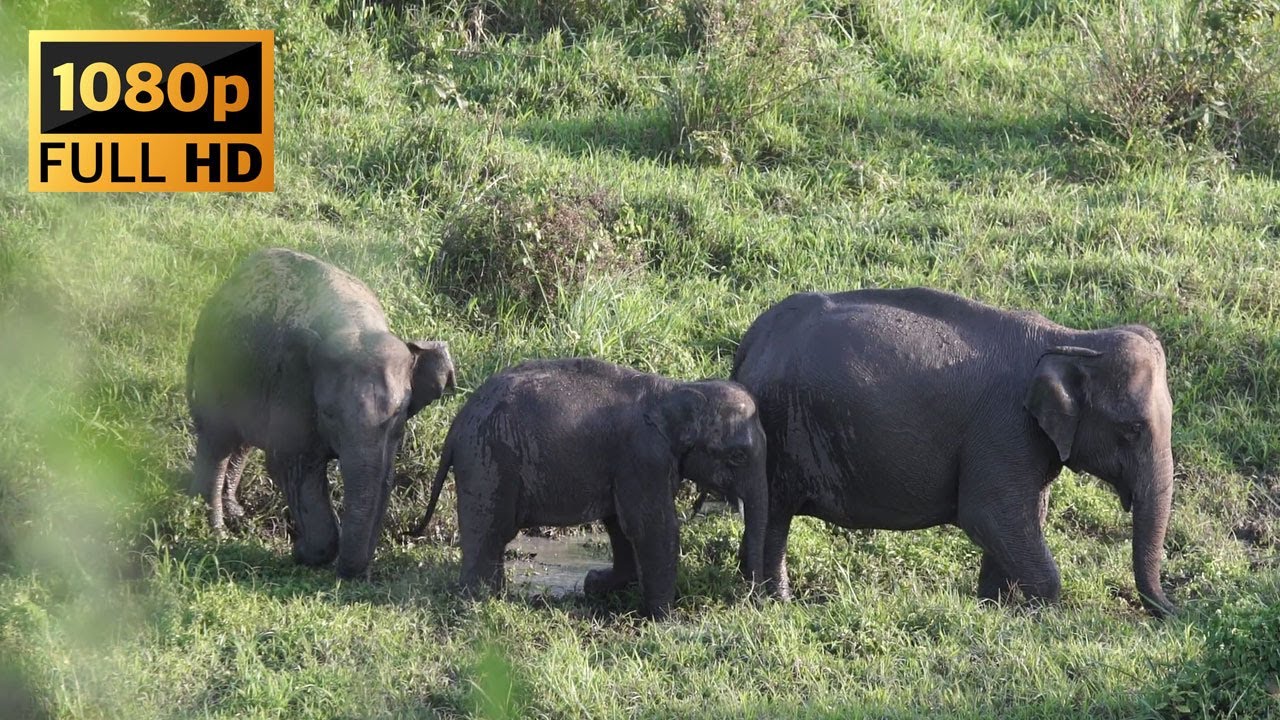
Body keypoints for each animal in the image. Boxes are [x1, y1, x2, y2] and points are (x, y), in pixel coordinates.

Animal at [186, 247, 455, 578]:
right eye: (328, 414)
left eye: (399, 415)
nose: (349, 574)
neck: (356, 323)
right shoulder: (293, 390)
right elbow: (292, 462)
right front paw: (303, 552)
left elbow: (382, 474)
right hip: (214, 364)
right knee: (217, 442)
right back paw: (214, 530)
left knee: (240, 444)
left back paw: (234, 515)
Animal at [410, 358, 767, 618]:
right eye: (737, 456)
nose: (754, 599)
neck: (677, 388)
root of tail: (457, 424)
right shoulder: (643, 457)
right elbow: (650, 527)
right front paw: (665, 619)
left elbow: (620, 524)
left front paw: (598, 585)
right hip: (488, 460)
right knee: (490, 530)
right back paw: (481, 602)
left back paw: (494, 596)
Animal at [731, 287, 1177, 617]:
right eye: (1133, 430)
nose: (1177, 611)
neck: (1072, 338)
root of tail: (751, 342)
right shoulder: (1004, 428)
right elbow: (989, 514)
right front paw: (1042, 612)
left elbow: (1022, 517)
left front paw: (995, 609)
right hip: (780, 428)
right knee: (774, 515)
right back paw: (776, 602)